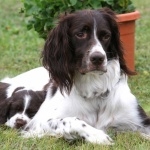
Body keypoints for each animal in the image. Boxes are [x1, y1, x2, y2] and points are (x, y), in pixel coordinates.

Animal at [20, 7, 150, 144]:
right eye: (80, 34)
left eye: (106, 36)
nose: (98, 58)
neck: (94, 88)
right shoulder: (35, 124)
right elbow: (70, 120)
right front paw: (98, 135)